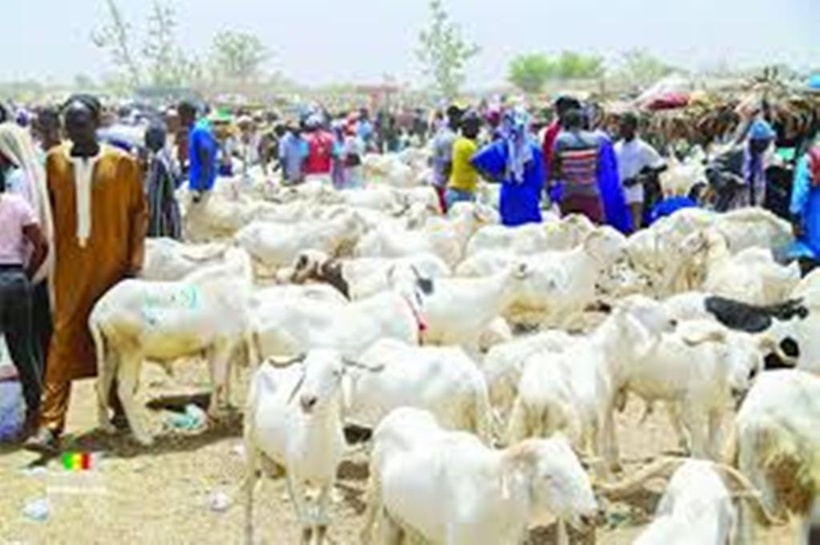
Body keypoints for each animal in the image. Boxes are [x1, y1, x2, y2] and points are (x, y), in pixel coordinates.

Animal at [91, 249, 255, 446]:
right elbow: (219, 382)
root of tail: (100, 309)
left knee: (101, 385)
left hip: (111, 352)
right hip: (131, 354)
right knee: (124, 390)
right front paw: (214, 415)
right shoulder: (223, 344)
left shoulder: (212, 348)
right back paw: (143, 437)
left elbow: (215, 380)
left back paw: (107, 426)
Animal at [243, 350, 383, 545]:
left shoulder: (329, 478)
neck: (317, 447)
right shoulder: (299, 477)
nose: (307, 400)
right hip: (250, 436)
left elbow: (321, 524)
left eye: (337, 372)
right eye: (304, 369)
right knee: (249, 487)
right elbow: (307, 528)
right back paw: (248, 533)